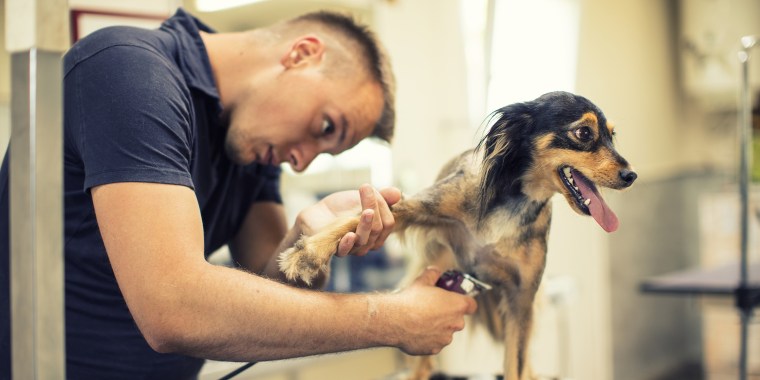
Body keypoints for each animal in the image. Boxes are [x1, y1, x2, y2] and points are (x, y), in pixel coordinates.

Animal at [280, 92, 636, 380]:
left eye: (612, 136)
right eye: (584, 133)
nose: (631, 175)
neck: (514, 201)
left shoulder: (521, 299)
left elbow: (516, 366)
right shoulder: (415, 206)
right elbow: (353, 219)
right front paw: (308, 253)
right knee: (422, 365)